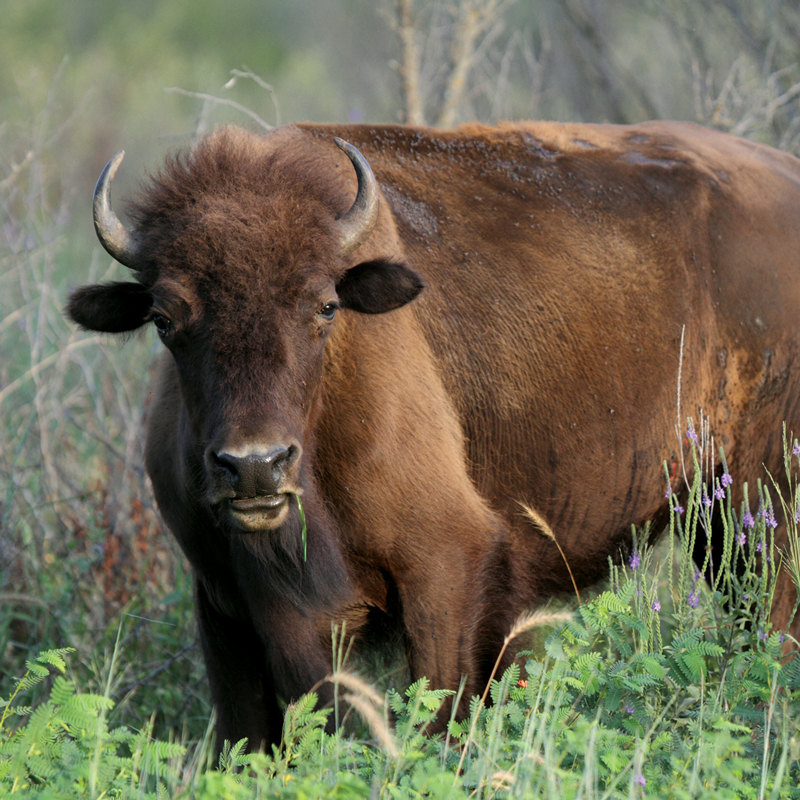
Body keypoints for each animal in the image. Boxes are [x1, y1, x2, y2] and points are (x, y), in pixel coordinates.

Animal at [67, 119, 800, 752]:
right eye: (165, 318)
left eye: (324, 306)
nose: (254, 466)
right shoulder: (225, 603)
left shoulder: (444, 571)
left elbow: (435, 714)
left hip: (760, 509)